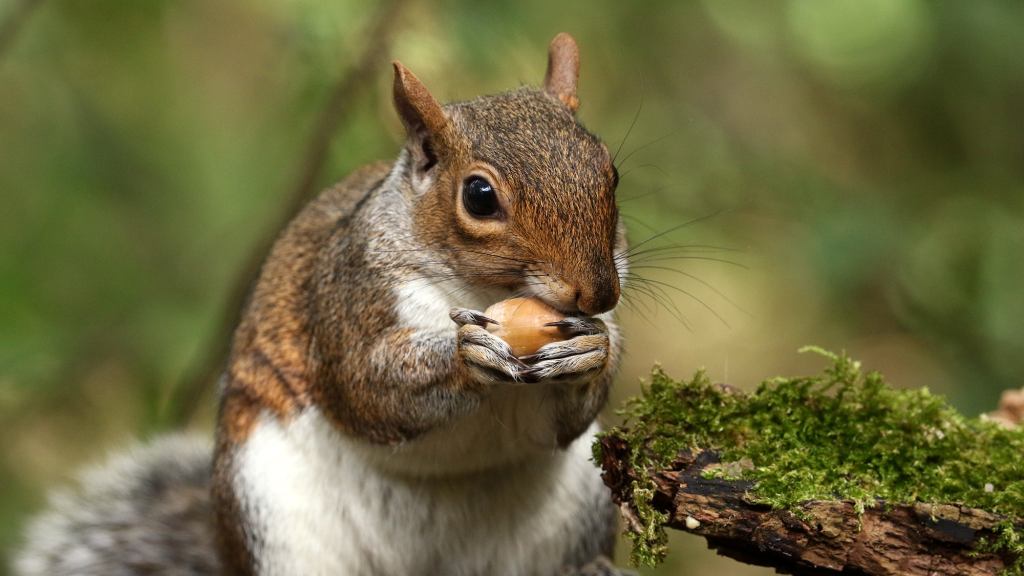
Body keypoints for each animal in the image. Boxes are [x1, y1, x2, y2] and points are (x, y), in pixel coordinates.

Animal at [14, 32, 622, 573]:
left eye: (610, 171)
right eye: (479, 196)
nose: (600, 292)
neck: (487, 291)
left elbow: (563, 423)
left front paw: (591, 351)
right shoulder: (347, 293)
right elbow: (367, 387)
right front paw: (464, 352)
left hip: (579, 502)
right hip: (268, 509)